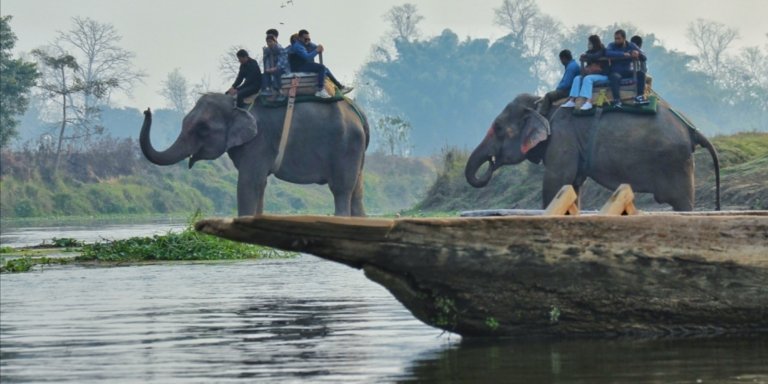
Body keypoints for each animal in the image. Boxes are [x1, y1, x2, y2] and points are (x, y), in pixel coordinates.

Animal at [140, 93, 368, 216]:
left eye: (203, 129)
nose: (147, 110)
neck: (237, 103)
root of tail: (360, 115)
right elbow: (260, 184)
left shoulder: (259, 141)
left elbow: (248, 183)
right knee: (356, 192)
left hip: (346, 146)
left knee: (341, 189)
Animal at [464, 94, 724, 212]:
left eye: (498, 128)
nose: (491, 164)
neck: (541, 106)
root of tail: (692, 130)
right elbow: (572, 186)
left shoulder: (563, 139)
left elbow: (555, 183)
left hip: (675, 163)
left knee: (682, 203)